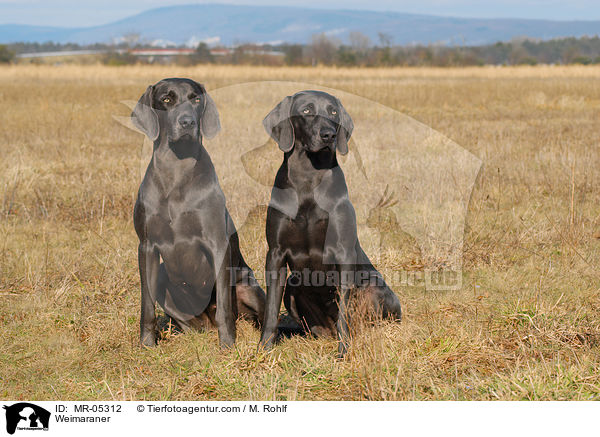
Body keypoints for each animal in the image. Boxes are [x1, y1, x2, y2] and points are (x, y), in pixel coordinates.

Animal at [134, 76, 264, 346]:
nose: (187, 122)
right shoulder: (146, 246)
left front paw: (228, 345)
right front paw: (147, 344)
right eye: (166, 99)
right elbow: (146, 305)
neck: (176, 171)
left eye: (195, 99)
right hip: (164, 277)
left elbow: (224, 306)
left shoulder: (217, 244)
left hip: (247, 284)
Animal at [258, 90, 404, 356]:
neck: (308, 178)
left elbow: (344, 314)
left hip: (374, 289)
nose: (329, 135)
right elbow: (271, 311)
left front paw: (344, 352)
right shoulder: (275, 254)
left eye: (333, 111)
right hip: (294, 286)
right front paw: (263, 349)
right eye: (306, 110)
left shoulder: (343, 253)